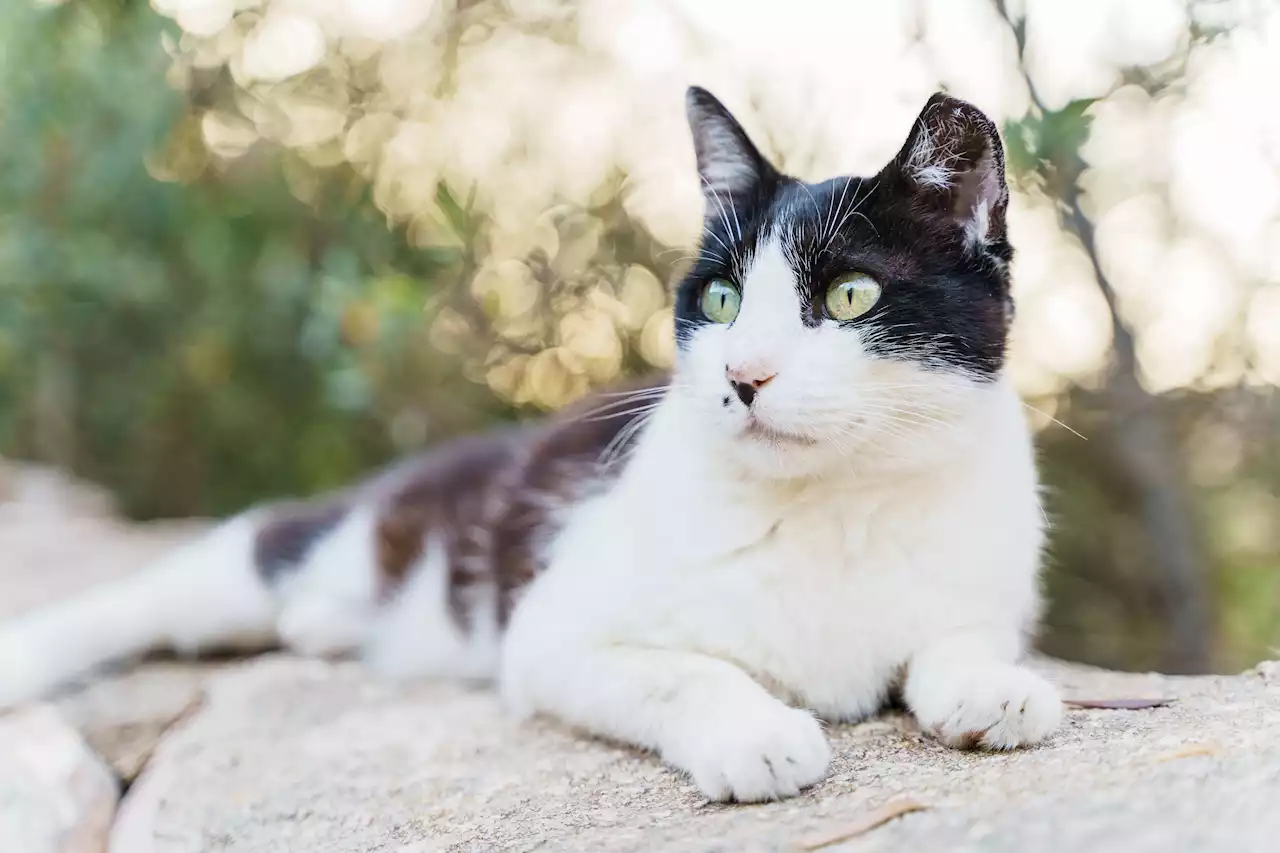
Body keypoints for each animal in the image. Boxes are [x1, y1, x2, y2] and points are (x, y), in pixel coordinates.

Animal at [0, 89, 1059, 799]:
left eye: (849, 295)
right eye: (721, 299)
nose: (743, 375)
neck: (832, 503)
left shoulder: (982, 578)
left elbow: (959, 636)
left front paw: (994, 688)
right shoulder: (551, 631)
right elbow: (683, 667)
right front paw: (755, 734)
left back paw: (324, 625)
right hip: (329, 539)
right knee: (180, 582)